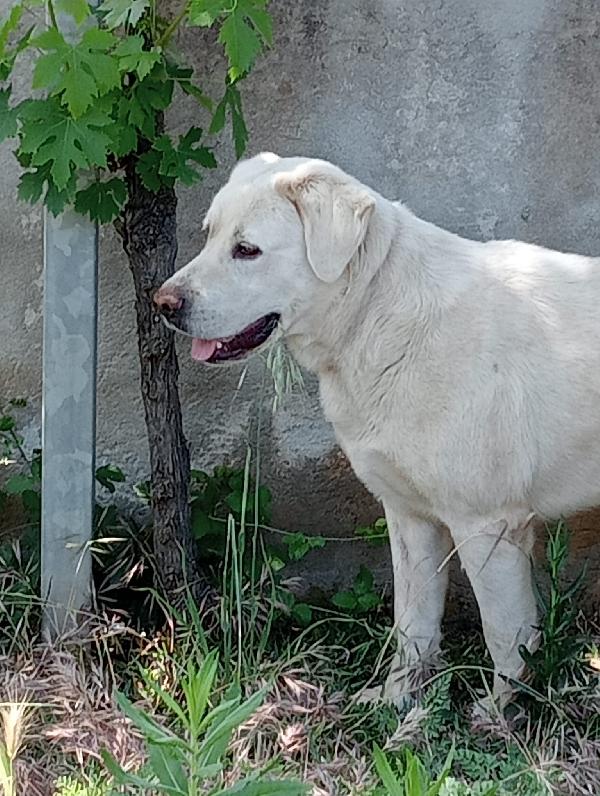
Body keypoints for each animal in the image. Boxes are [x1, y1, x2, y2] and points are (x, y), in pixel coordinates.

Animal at [154, 155, 600, 708]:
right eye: (209, 235)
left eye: (247, 250)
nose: (163, 303)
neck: (376, 313)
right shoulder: (410, 516)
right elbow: (413, 623)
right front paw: (397, 702)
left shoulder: (487, 524)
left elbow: (505, 634)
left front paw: (501, 713)